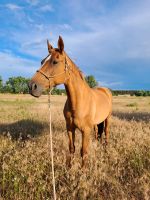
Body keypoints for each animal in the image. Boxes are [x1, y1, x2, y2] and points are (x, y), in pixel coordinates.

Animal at [28, 36, 112, 167]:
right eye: (42, 61)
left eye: (55, 62)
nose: (32, 86)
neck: (78, 101)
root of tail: (105, 90)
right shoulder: (70, 128)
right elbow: (72, 148)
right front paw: (69, 168)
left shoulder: (85, 131)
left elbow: (83, 152)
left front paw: (83, 171)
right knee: (98, 134)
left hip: (107, 119)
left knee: (106, 135)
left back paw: (106, 152)